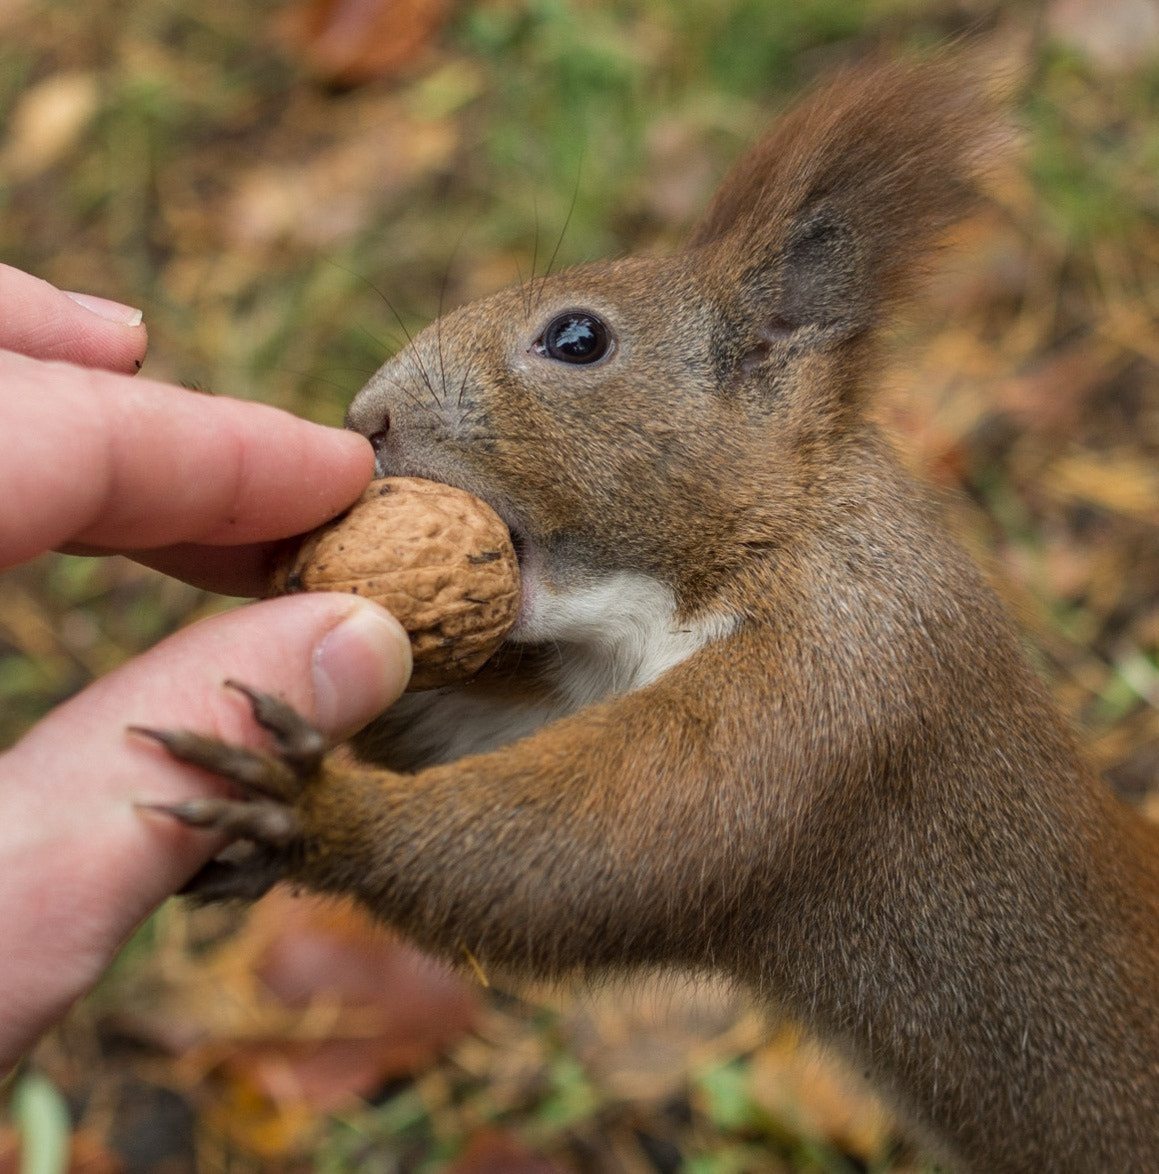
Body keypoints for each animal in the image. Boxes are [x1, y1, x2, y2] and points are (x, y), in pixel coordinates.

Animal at [137, 55, 1159, 1174]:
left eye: (577, 338)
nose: (366, 419)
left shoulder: (837, 685)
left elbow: (615, 838)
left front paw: (317, 810)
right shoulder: (571, 690)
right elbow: (462, 730)